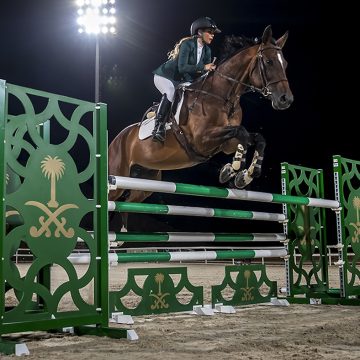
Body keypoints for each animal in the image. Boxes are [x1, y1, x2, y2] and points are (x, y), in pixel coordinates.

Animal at [109, 24, 292, 222]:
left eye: (285, 64)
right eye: (269, 62)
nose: (286, 100)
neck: (224, 97)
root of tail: (116, 139)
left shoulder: (225, 144)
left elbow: (256, 138)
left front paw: (244, 173)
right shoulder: (202, 140)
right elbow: (241, 132)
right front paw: (235, 169)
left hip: (146, 180)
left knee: (126, 205)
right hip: (117, 175)